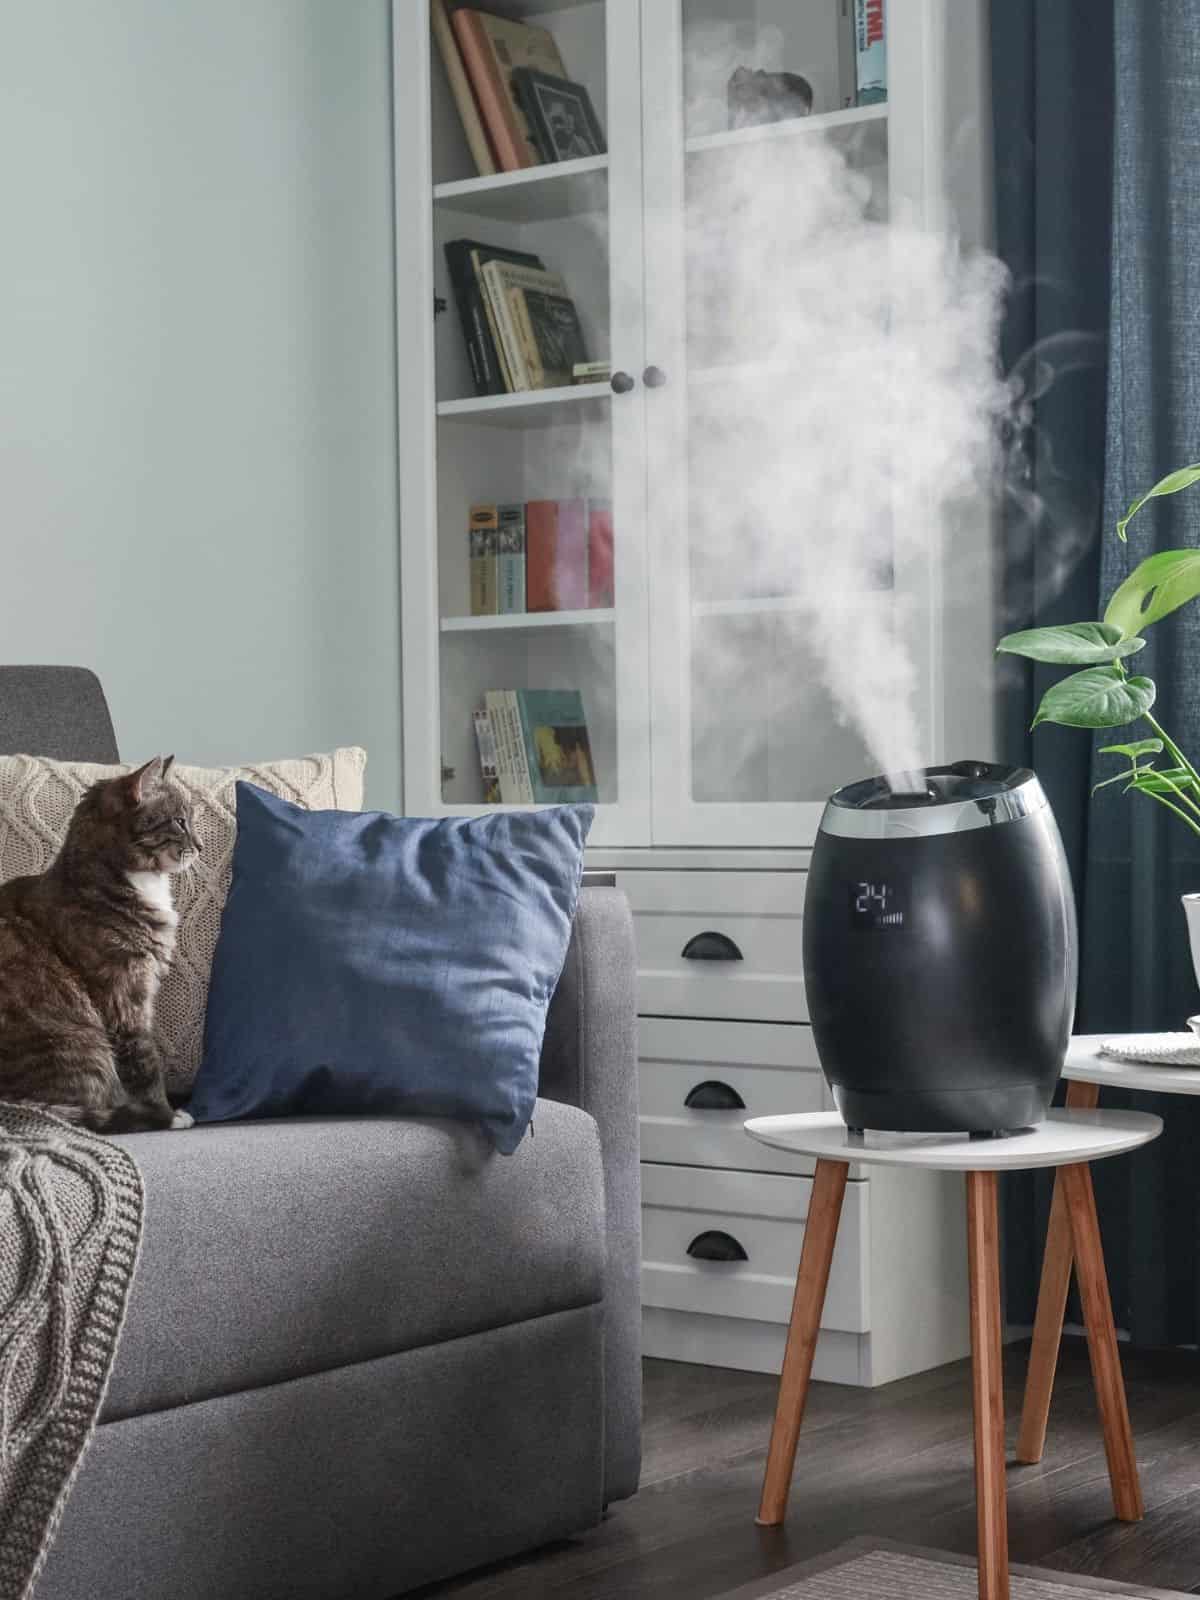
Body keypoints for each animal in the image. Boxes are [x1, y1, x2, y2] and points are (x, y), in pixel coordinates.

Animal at [0, 755, 200, 1132]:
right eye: (180, 821)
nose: (200, 846)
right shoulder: (125, 997)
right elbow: (145, 1065)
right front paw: (166, 1114)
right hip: (82, 1042)